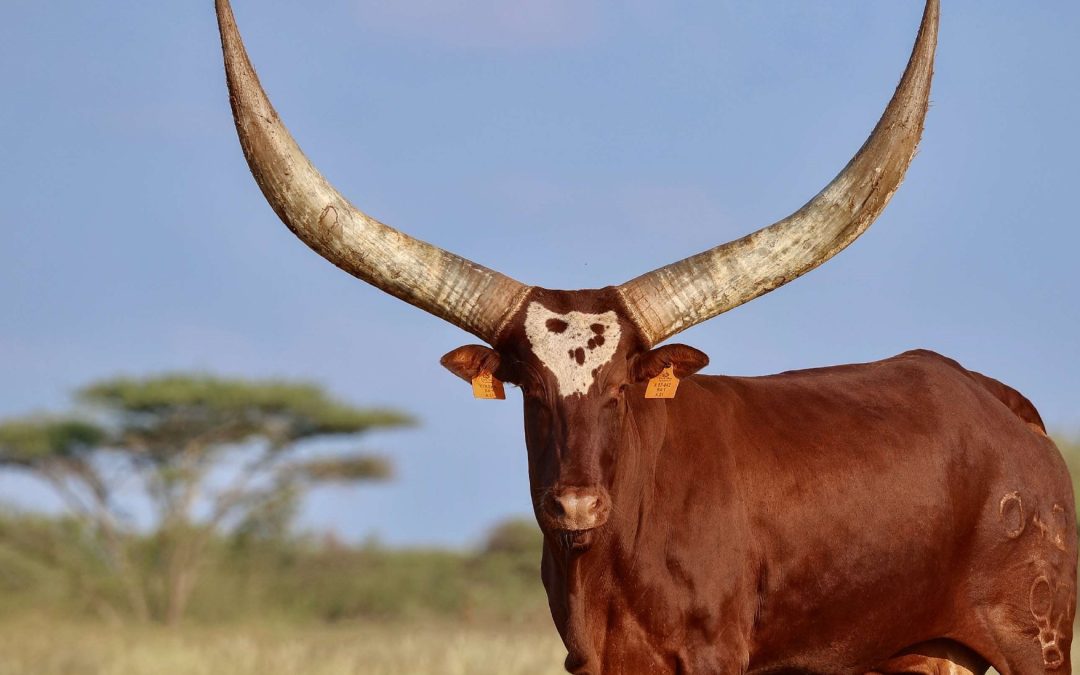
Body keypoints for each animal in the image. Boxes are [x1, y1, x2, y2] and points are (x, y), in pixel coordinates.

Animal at [215, 0, 1076, 672]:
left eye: (622, 388)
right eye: (529, 388)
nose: (576, 504)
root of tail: (1003, 405)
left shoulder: (713, 654)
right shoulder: (586, 659)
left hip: (1037, 637)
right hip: (921, 653)